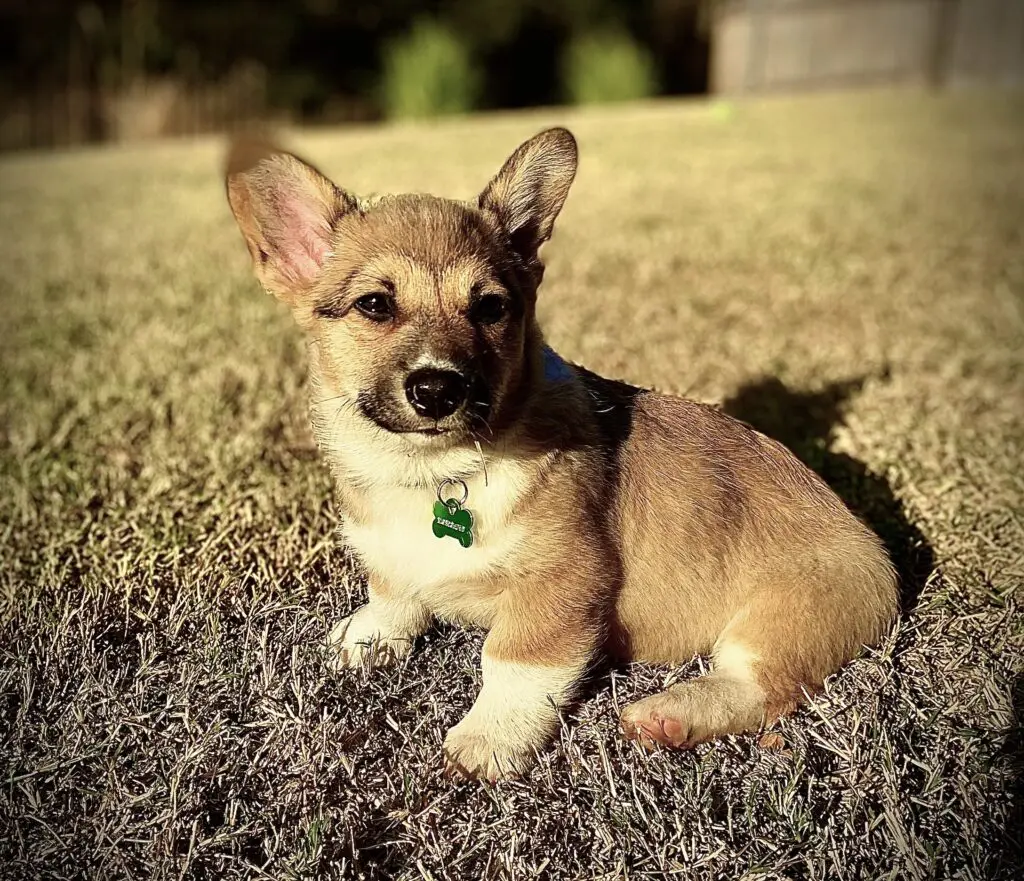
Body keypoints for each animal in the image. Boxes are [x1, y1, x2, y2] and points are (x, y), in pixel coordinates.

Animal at [224, 129, 897, 778]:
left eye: (490, 307)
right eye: (374, 304)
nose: (438, 389)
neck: (436, 470)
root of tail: (885, 557)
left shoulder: (563, 585)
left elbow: (512, 663)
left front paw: (489, 739)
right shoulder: (394, 559)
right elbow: (392, 593)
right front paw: (370, 636)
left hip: (786, 617)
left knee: (764, 687)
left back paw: (667, 714)